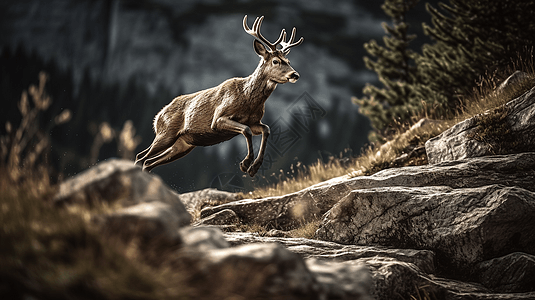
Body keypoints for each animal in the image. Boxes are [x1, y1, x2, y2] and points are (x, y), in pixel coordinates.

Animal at [134, 14, 304, 176]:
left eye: (288, 61)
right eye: (276, 61)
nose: (294, 74)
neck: (247, 99)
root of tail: (158, 116)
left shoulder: (255, 121)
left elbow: (266, 130)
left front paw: (254, 168)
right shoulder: (218, 118)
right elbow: (246, 130)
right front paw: (245, 163)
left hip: (183, 144)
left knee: (148, 162)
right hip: (166, 133)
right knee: (140, 158)